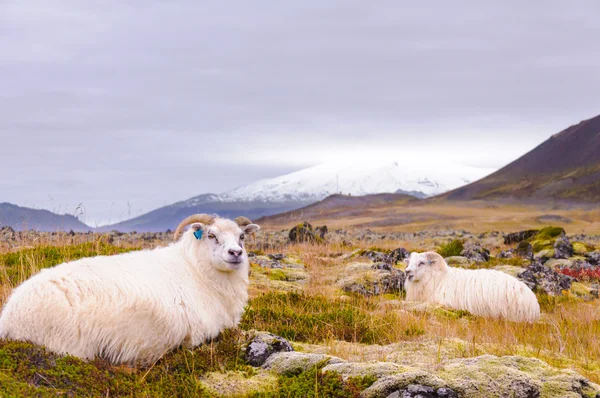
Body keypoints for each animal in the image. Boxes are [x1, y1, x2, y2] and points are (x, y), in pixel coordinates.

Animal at [0, 213, 258, 366]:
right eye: (211, 235)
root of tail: (9, 316)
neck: (196, 270)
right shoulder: (200, 333)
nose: (236, 253)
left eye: (242, 237)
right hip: (70, 345)